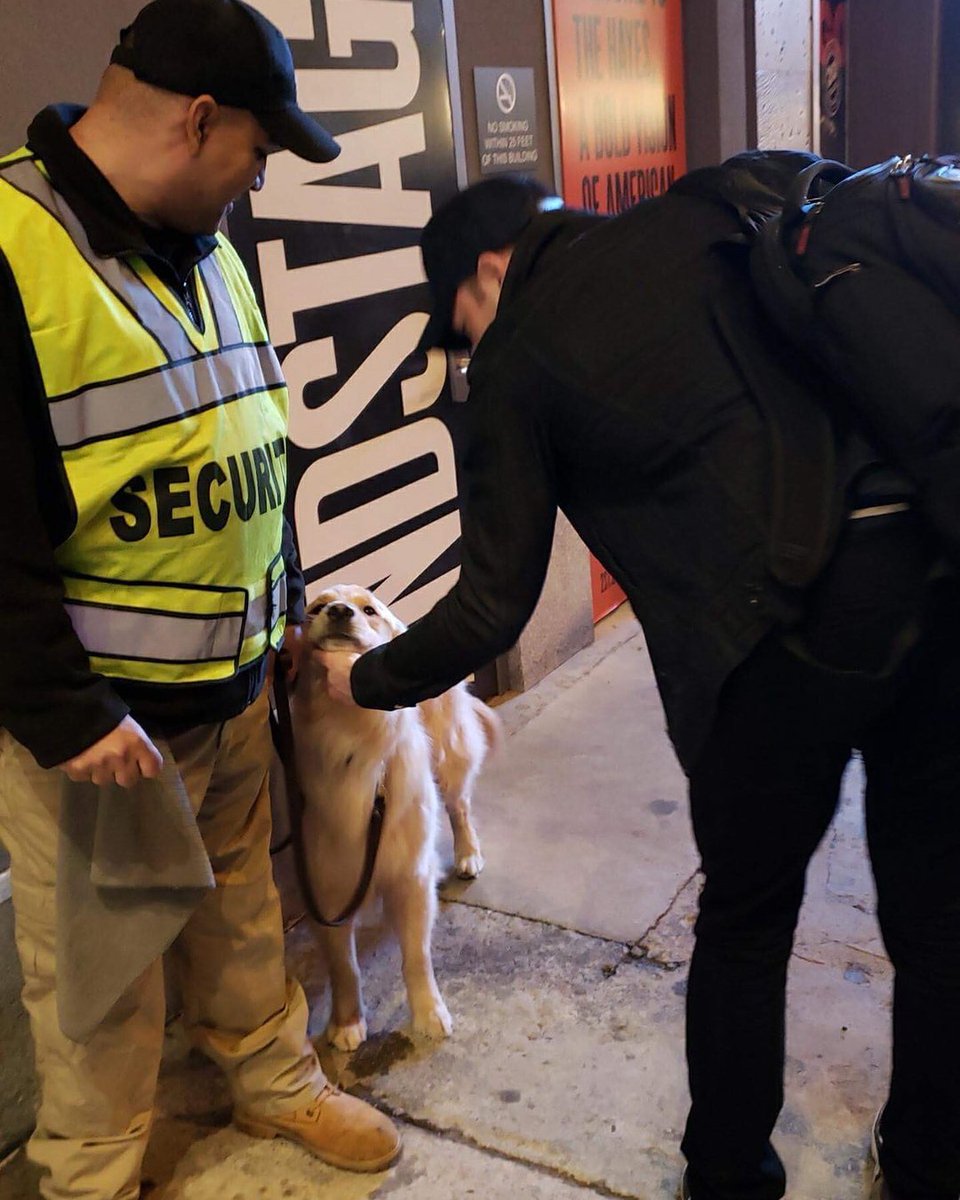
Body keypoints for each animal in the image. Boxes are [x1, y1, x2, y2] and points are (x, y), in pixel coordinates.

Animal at [290, 585, 501, 1046]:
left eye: (369, 610)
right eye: (316, 607)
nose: (338, 612)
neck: (353, 736)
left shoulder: (410, 875)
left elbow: (416, 955)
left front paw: (428, 1013)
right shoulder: (327, 886)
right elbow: (343, 966)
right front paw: (347, 1021)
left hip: (449, 753)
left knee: (459, 806)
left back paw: (468, 855)